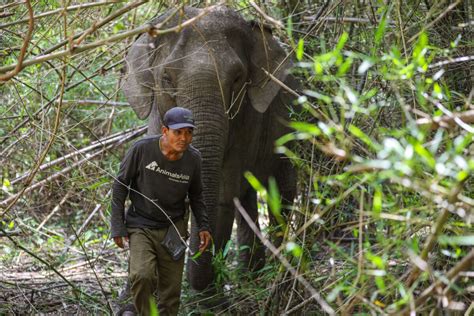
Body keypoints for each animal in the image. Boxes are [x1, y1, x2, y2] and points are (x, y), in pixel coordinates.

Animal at [121, 5, 296, 292]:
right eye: (166, 78)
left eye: (237, 78)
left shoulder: (248, 122)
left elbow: (223, 193)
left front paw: (208, 297)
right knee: (247, 198)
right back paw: (250, 275)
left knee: (281, 193)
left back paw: (271, 274)